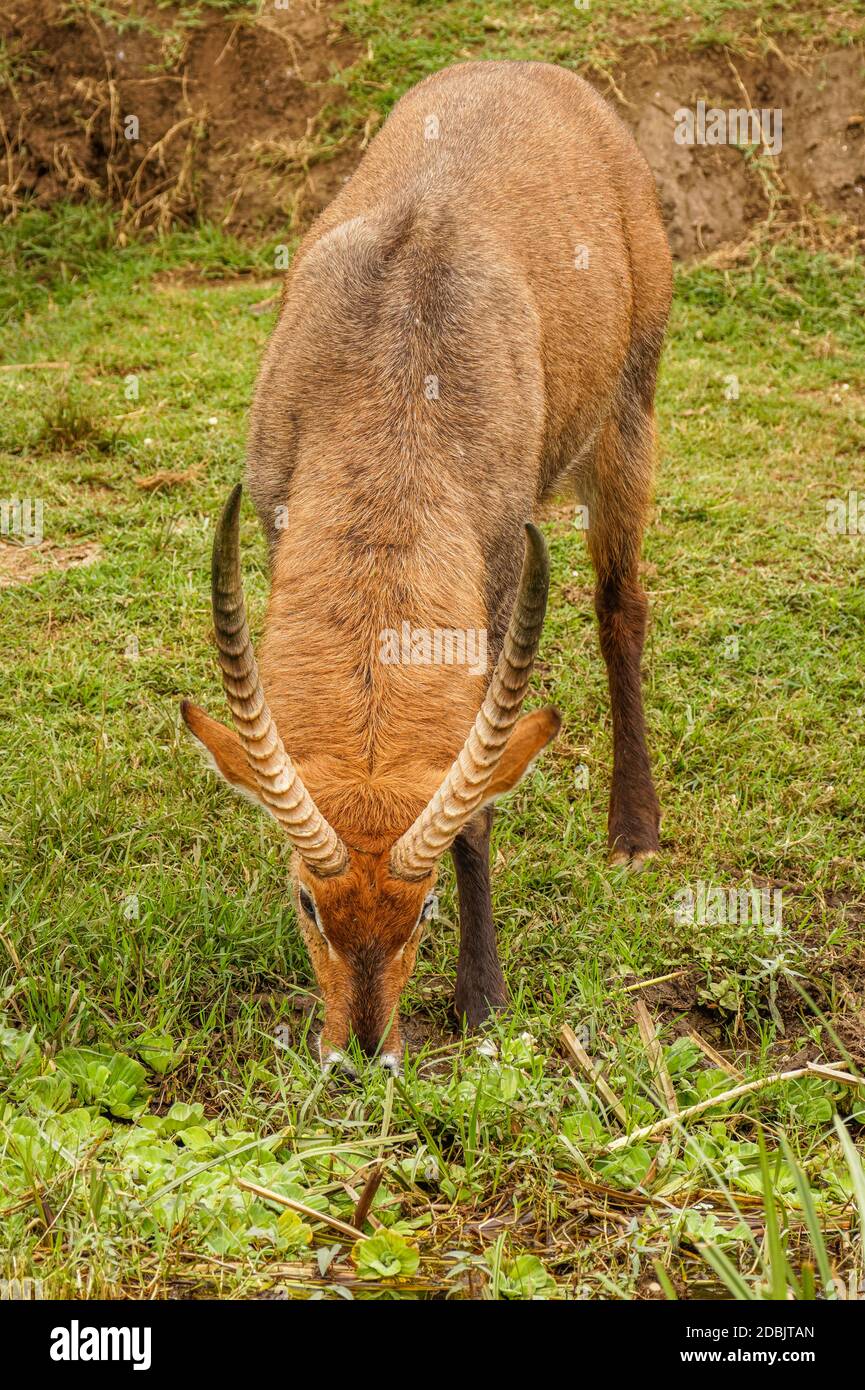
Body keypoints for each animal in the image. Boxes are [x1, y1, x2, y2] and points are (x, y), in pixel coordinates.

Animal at [180, 59, 670, 1067]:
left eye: (426, 905)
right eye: (306, 904)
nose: (361, 1050)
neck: (398, 372)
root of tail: (530, 65)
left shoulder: (500, 577)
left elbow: (475, 803)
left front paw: (482, 999)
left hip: (629, 413)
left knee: (620, 607)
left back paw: (633, 832)